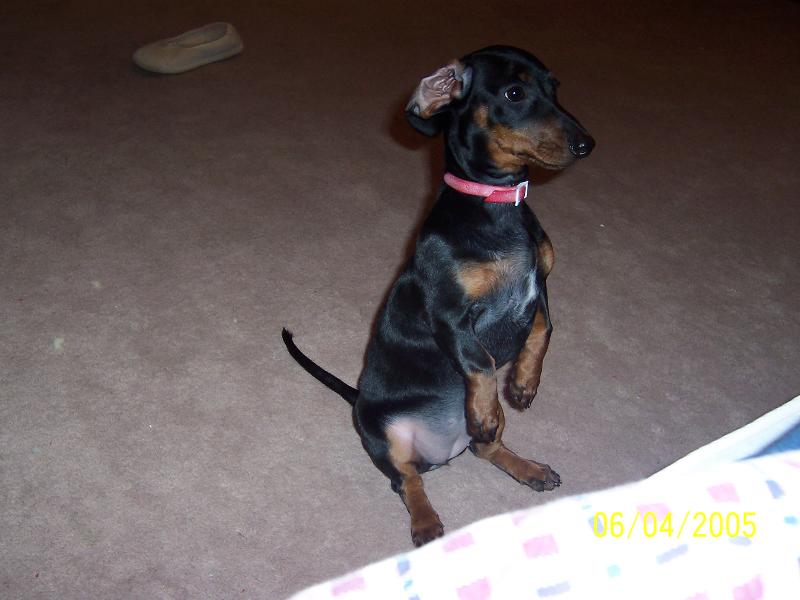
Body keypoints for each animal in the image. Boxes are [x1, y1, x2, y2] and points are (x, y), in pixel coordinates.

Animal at [283, 45, 594, 546]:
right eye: (514, 93)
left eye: (555, 87)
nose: (587, 144)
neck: (496, 206)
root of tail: (442, 451)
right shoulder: (449, 314)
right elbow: (481, 362)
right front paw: (492, 401)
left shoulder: (541, 285)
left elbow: (544, 329)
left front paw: (523, 384)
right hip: (383, 434)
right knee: (407, 480)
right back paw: (427, 521)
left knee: (487, 449)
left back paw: (527, 468)